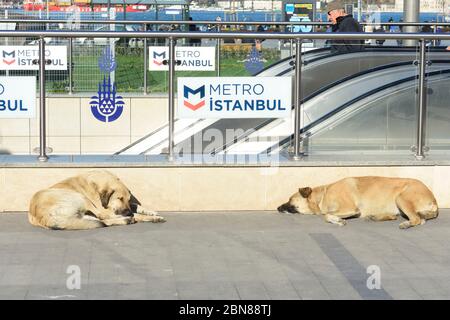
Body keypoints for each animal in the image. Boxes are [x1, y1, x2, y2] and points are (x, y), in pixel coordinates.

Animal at [28, 170, 165, 230]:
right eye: (119, 198)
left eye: (127, 199)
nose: (128, 212)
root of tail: (40, 216)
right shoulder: (105, 208)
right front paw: (150, 217)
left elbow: (135, 205)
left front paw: (151, 212)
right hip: (81, 197)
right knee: (103, 217)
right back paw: (127, 219)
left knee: (101, 221)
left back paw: (126, 219)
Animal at [278, 176, 440, 229]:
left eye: (290, 200)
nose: (278, 208)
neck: (323, 195)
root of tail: (433, 199)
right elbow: (328, 215)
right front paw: (337, 220)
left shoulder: (351, 208)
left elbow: (327, 215)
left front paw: (338, 221)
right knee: (417, 219)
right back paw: (377, 217)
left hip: (401, 198)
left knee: (417, 219)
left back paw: (406, 224)